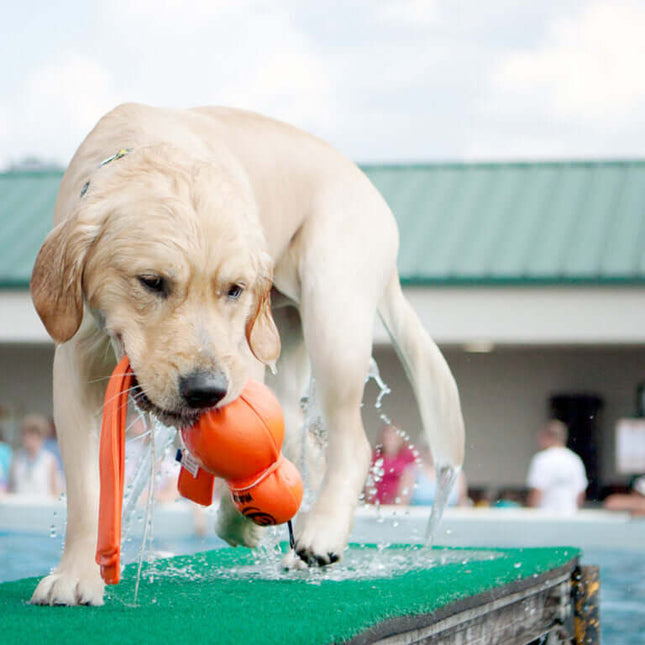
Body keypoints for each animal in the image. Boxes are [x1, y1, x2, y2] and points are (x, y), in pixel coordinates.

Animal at [28, 104, 462, 604]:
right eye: (152, 282)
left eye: (234, 289)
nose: (205, 391)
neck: (151, 144)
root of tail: (372, 191)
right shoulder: (75, 359)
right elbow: (85, 488)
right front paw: (75, 575)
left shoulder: (241, 357)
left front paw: (241, 520)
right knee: (304, 436)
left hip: (333, 309)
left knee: (348, 439)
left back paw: (322, 532)